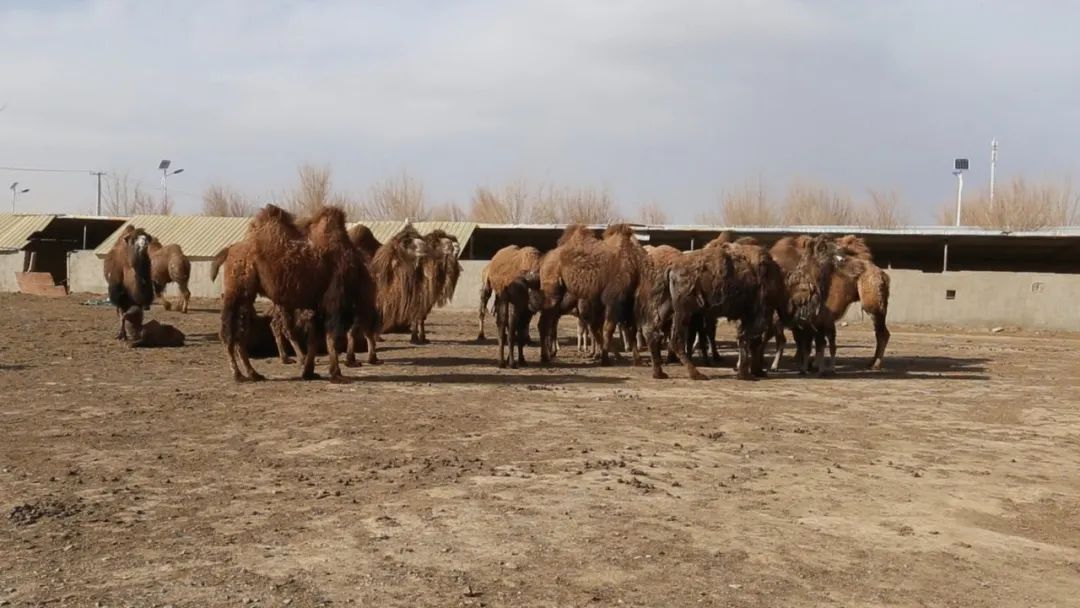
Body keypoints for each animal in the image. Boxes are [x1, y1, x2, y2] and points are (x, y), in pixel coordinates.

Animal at [219, 207, 367, 382]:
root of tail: (230, 250)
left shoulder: (317, 304)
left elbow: (314, 338)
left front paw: (309, 372)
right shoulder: (334, 298)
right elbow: (331, 336)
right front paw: (336, 374)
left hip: (246, 296)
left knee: (240, 332)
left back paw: (253, 373)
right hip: (237, 292)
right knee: (229, 332)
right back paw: (238, 374)